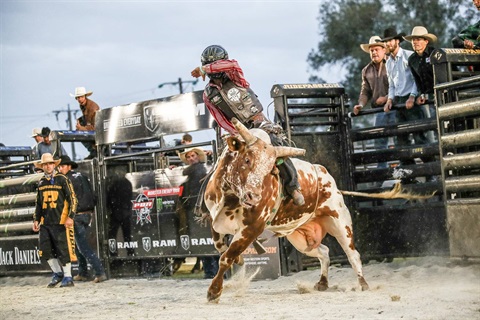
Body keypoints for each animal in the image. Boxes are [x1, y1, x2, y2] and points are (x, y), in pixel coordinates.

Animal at [204, 118, 370, 302]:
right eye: (247, 160)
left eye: (271, 168)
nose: (253, 197)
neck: (229, 197)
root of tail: (324, 173)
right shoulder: (213, 218)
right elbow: (220, 246)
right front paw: (238, 260)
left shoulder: (251, 229)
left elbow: (226, 258)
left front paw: (214, 291)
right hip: (300, 239)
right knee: (324, 252)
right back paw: (322, 283)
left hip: (340, 222)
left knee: (353, 254)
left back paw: (363, 284)